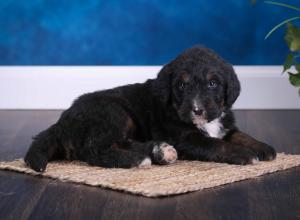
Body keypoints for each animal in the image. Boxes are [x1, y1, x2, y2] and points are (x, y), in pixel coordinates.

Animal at [25, 45, 276, 172]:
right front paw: (243, 154)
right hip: (114, 113)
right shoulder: (185, 137)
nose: (197, 110)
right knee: (94, 150)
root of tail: (62, 121)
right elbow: (215, 144)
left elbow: (241, 135)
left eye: (213, 83)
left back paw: (158, 151)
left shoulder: (225, 124)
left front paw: (263, 148)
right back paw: (139, 159)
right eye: (182, 86)